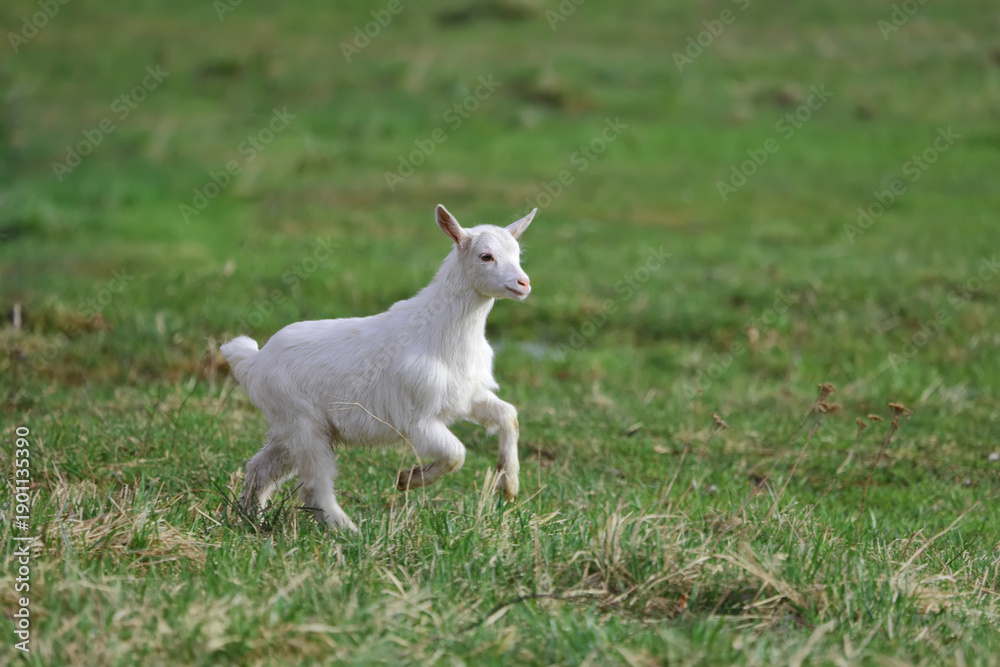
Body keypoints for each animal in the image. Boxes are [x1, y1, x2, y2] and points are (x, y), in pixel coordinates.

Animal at [221, 204, 536, 531]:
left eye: (517, 254)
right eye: (485, 256)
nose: (524, 284)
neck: (438, 331)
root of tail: (254, 361)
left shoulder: (466, 396)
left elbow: (508, 416)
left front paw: (509, 485)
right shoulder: (419, 419)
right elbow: (457, 454)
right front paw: (409, 480)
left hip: (289, 428)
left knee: (260, 468)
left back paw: (253, 520)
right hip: (304, 424)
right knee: (314, 486)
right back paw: (349, 532)